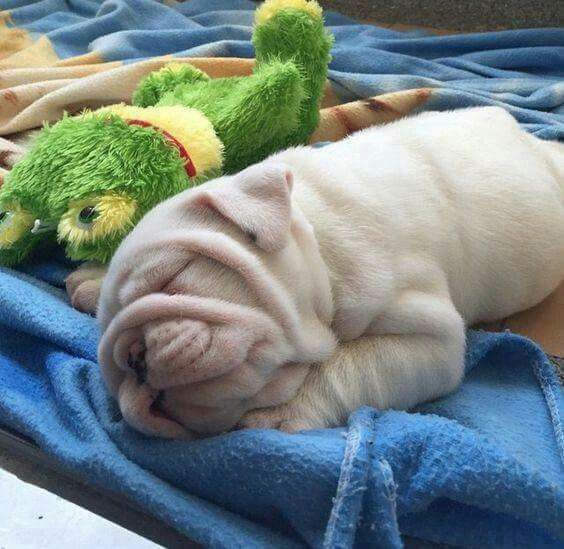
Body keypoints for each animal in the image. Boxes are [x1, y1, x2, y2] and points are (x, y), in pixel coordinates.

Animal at [94, 107, 560, 436]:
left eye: (172, 278)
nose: (132, 359)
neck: (313, 225)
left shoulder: (429, 338)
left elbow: (347, 367)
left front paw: (283, 409)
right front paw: (90, 281)